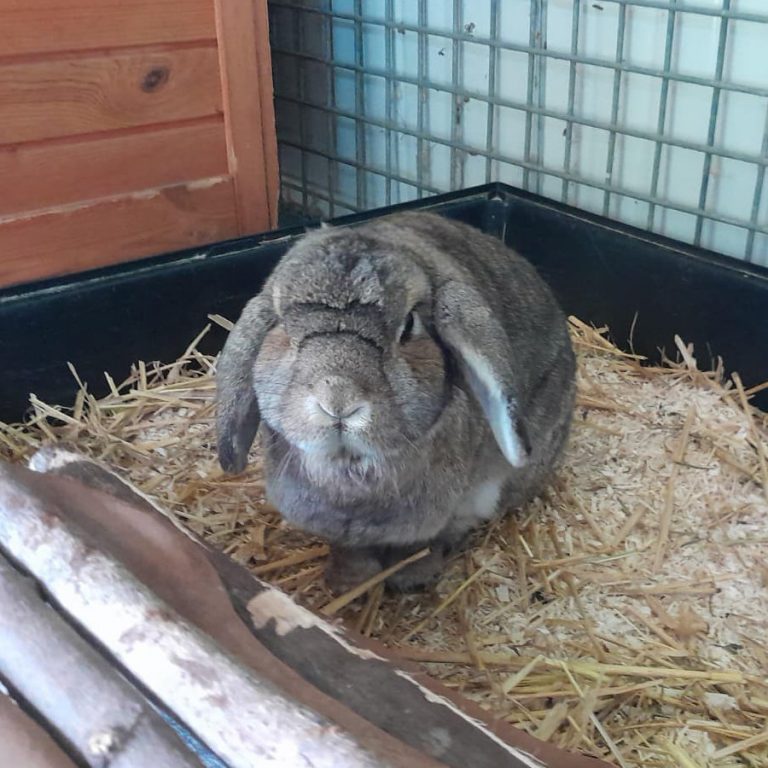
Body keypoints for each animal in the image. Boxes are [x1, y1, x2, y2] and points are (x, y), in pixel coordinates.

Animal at [216, 211, 576, 593]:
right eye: (284, 327)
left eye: (408, 327)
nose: (338, 400)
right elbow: (350, 551)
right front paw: (347, 582)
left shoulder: (455, 509)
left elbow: (427, 543)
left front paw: (410, 577)